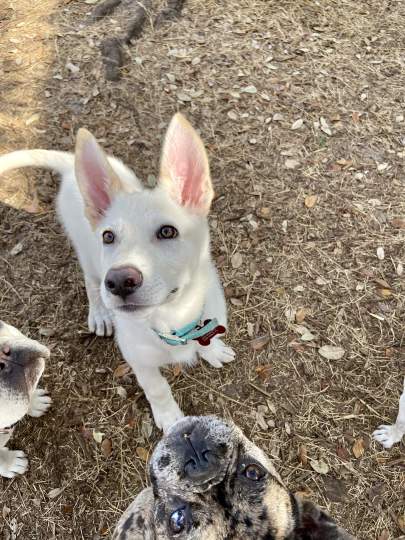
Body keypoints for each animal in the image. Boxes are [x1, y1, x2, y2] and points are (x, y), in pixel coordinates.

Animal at [0, 113, 235, 430]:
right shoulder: (138, 358)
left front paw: (213, 350)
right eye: (109, 237)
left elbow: (207, 339)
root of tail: (70, 164)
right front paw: (169, 416)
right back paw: (100, 314)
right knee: (91, 282)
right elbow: (156, 387)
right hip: (88, 256)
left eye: (168, 231)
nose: (120, 282)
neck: (174, 319)